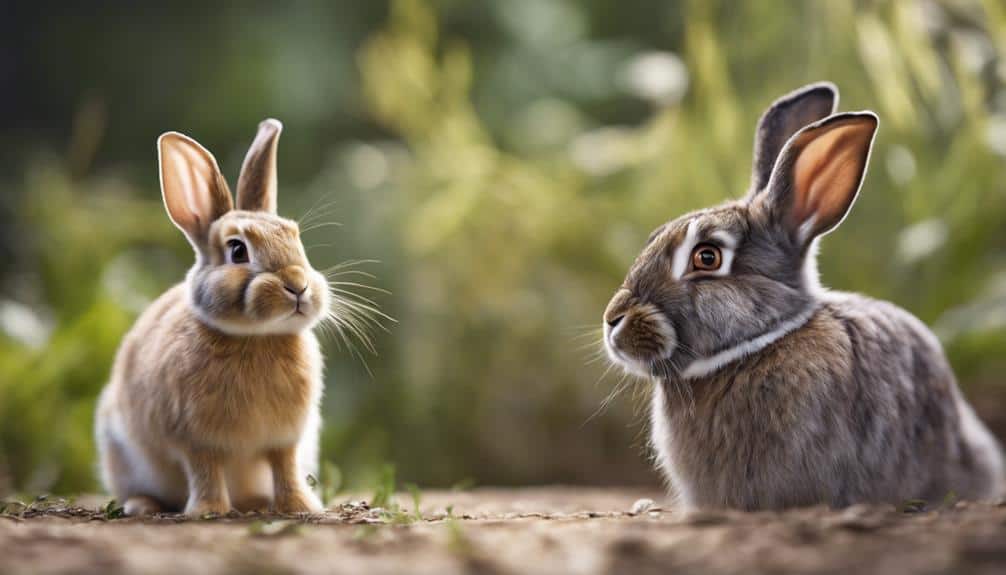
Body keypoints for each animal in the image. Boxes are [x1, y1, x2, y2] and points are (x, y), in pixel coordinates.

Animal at [95, 119, 331, 516]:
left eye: (295, 238)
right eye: (237, 250)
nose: (298, 285)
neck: (255, 337)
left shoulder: (285, 440)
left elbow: (285, 469)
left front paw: (301, 507)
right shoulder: (194, 440)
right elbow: (205, 471)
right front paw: (208, 510)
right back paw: (143, 506)